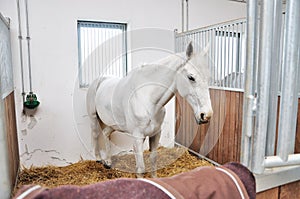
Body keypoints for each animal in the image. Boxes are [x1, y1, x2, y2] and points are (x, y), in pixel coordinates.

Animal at [86, 42, 213, 176]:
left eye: (208, 78)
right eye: (191, 77)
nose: (206, 115)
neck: (147, 99)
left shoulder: (156, 134)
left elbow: (153, 159)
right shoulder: (137, 137)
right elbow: (141, 169)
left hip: (114, 124)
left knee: (106, 133)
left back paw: (108, 162)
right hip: (93, 118)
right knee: (95, 135)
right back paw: (98, 158)